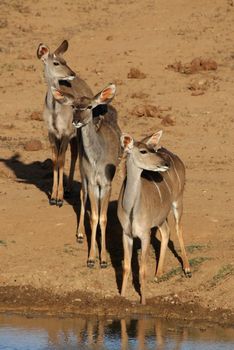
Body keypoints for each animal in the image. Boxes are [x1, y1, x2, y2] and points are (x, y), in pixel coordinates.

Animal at [36, 40, 93, 206]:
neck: (55, 111)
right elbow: (55, 160)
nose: (72, 74)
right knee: (73, 154)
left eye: (65, 61)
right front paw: (53, 197)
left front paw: (58, 198)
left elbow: (61, 160)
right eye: (56, 62)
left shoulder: (66, 132)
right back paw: (67, 189)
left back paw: (67, 190)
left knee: (75, 155)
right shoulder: (51, 133)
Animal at [51, 82, 120, 268]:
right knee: (83, 195)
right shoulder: (91, 180)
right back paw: (80, 234)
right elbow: (95, 217)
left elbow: (103, 218)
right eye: (74, 106)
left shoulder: (107, 183)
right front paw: (91, 259)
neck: (97, 159)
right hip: (83, 173)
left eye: (89, 106)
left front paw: (103, 259)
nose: (76, 121)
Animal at [118, 131, 191, 304]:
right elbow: (126, 267)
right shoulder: (126, 234)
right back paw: (158, 274)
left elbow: (143, 269)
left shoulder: (145, 234)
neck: (131, 209)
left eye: (152, 149)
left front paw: (143, 301)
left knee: (178, 228)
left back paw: (187, 269)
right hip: (161, 217)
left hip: (178, 201)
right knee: (166, 231)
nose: (165, 163)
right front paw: (121, 297)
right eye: (143, 151)